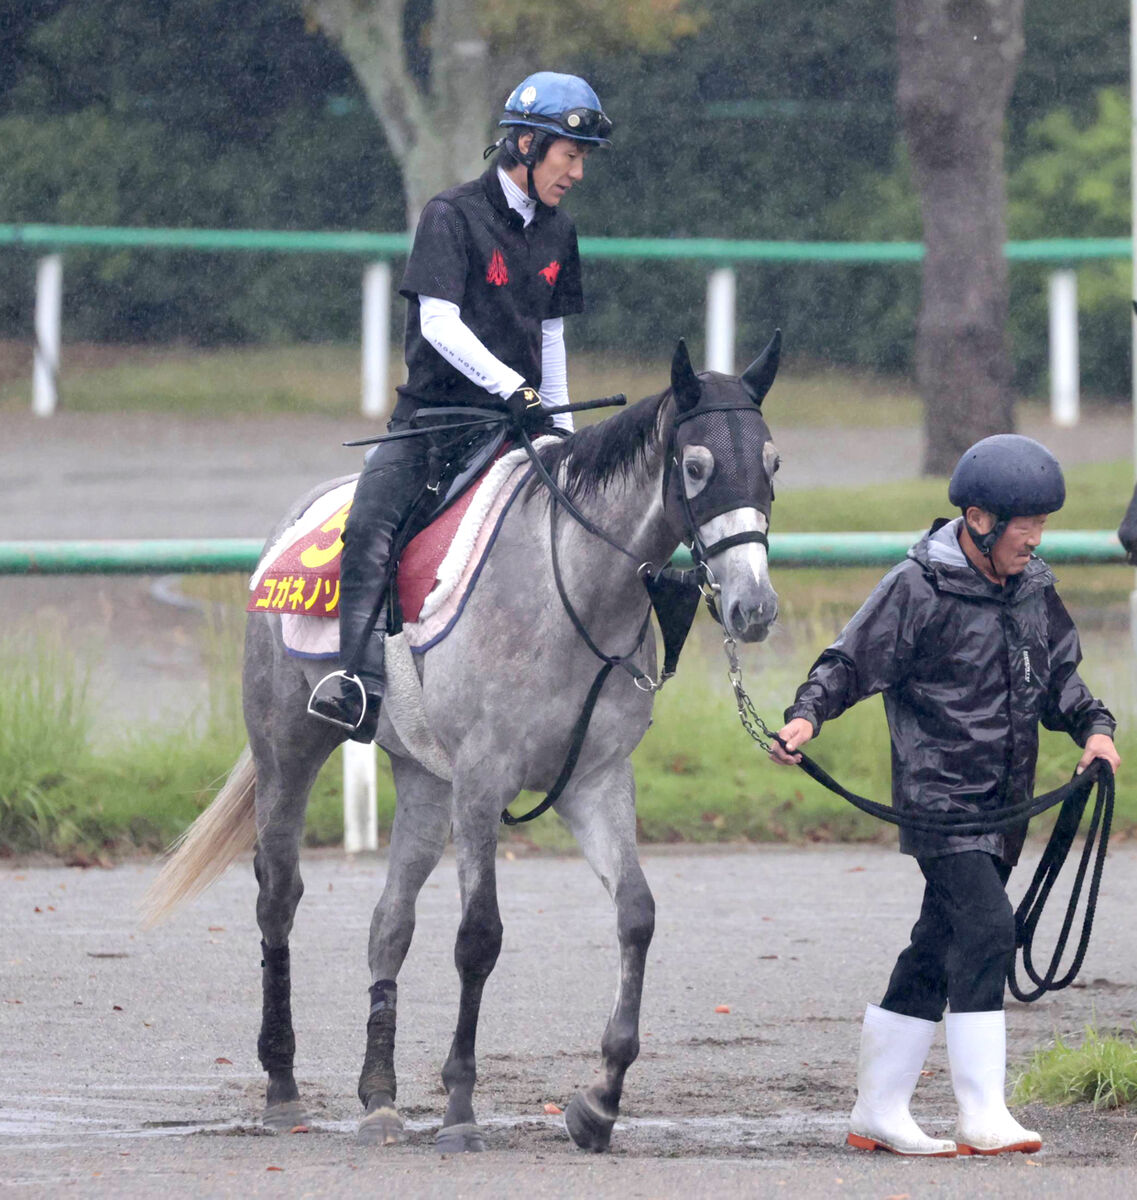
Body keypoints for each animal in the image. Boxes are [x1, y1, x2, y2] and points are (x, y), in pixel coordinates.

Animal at [144, 336, 781, 1152]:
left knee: (389, 922)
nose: (754, 607)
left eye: (771, 465)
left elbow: (636, 913)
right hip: (288, 748)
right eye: (696, 467)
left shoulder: (595, 782)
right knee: (278, 897)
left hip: (423, 781)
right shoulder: (482, 781)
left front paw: (600, 1100)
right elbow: (479, 936)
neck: (568, 591)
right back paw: (283, 1086)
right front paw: (459, 1108)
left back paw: (379, 1098)